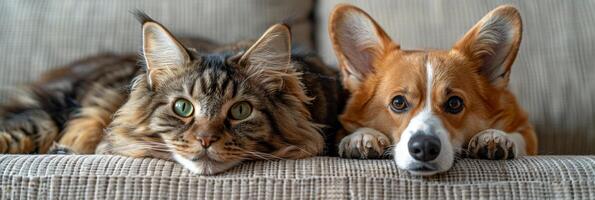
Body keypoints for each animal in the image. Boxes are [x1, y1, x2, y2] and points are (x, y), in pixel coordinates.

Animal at [330, 4, 540, 176]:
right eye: (398, 102)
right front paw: (363, 136)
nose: (424, 147)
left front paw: (495, 136)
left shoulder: (526, 130)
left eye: (454, 103)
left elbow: (518, 137)